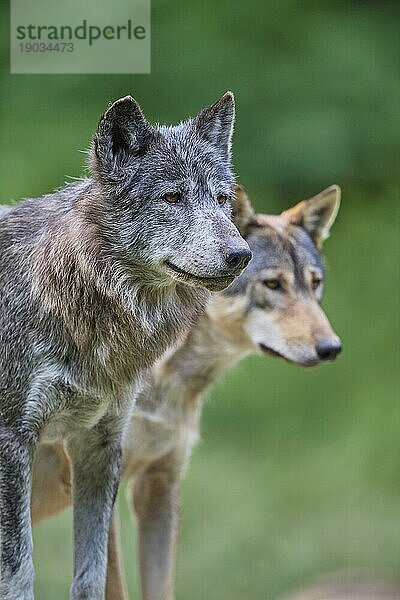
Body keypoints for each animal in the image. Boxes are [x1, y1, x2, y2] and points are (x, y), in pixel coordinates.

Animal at [0, 94, 250, 600]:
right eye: (172, 197)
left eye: (221, 199)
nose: (241, 255)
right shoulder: (13, 440)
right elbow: (19, 574)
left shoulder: (100, 443)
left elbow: (91, 576)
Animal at [29, 185, 340, 596]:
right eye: (273, 284)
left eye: (314, 283)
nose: (331, 348)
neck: (167, 379)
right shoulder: (96, 485)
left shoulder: (160, 484)